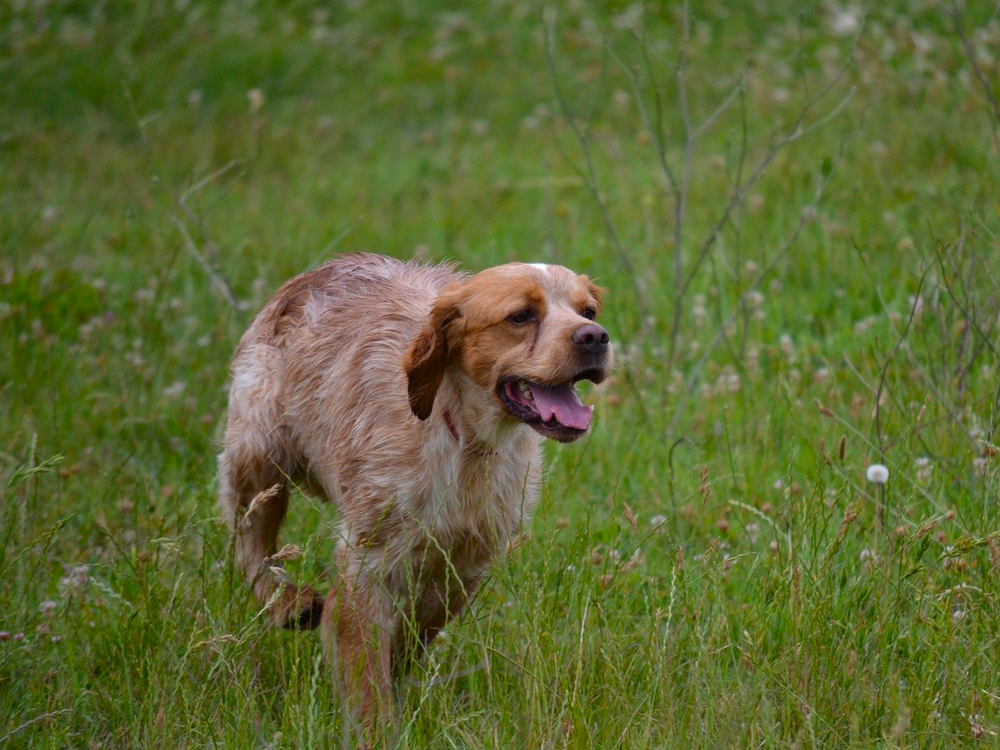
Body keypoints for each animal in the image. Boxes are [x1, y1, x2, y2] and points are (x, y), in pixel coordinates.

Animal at [219, 254, 608, 740]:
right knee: (250, 543)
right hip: (257, 456)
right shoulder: (367, 557)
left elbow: (418, 627)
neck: (462, 437)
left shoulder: (467, 558)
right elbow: (365, 668)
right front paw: (375, 727)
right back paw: (288, 603)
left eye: (588, 311)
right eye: (521, 316)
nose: (595, 337)